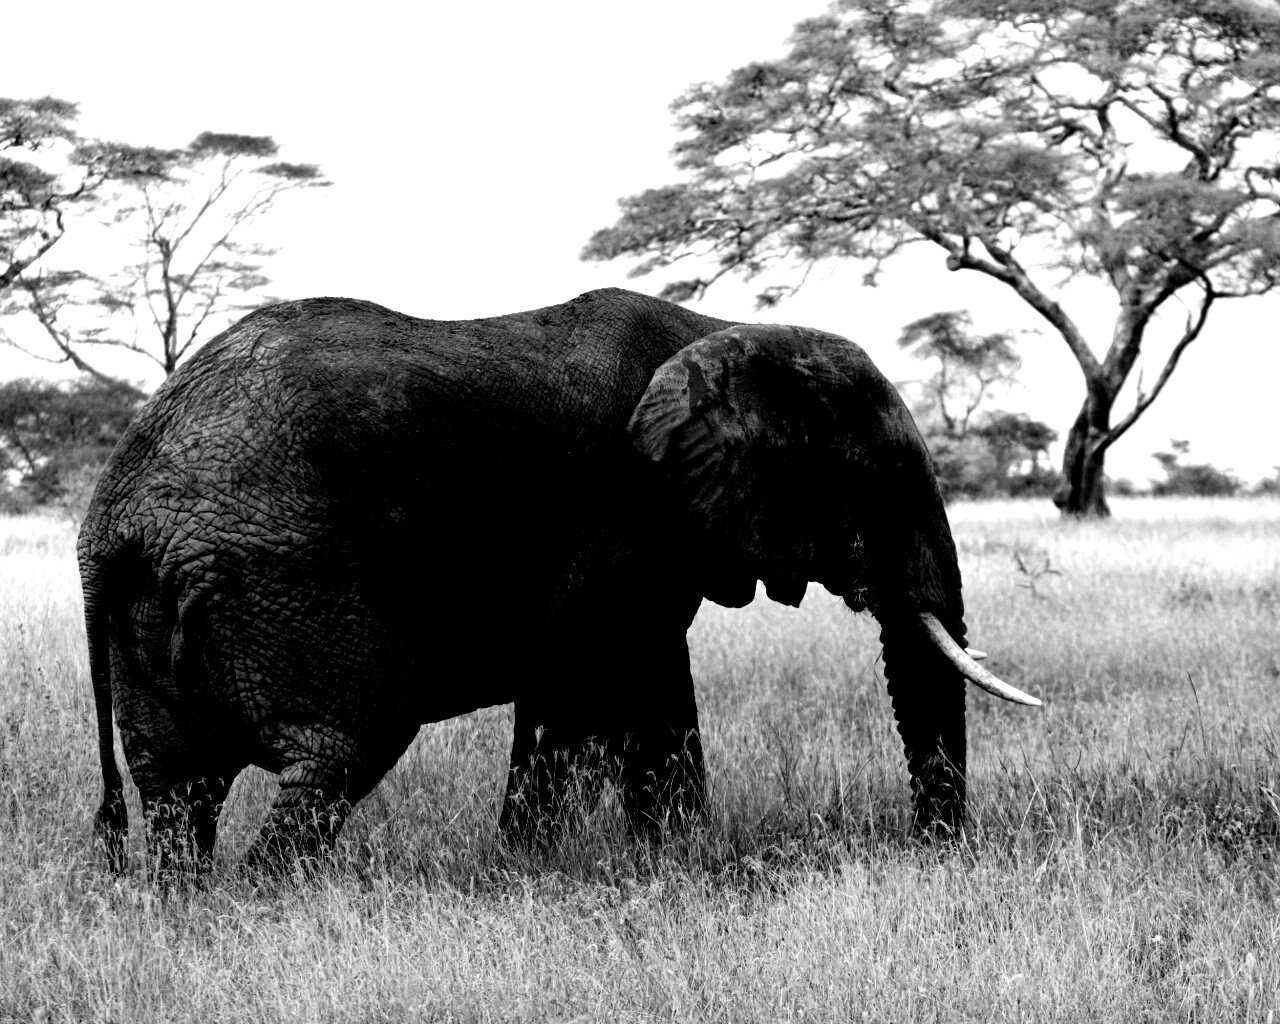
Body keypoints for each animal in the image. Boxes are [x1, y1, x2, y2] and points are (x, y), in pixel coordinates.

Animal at [78, 286, 1039, 873]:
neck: (724, 331)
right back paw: (268, 906)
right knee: (337, 751)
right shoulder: (632, 520)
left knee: (177, 787)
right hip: (282, 578)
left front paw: (559, 866)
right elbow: (624, 693)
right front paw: (664, 865)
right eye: (877, 480)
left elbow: (584, 701)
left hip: (158, 608)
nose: (934, 852)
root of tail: (114, 517)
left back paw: (189, 909)